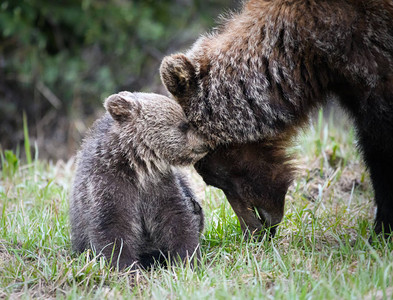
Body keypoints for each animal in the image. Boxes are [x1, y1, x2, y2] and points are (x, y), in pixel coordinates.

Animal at [69, 92, 207, 270]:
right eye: (183, 125)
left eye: (190, 122)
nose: (205, 144)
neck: (137, 167)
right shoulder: (108, 186)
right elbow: (113, 229)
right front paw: (126, 267)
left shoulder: (159, 185)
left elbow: (177, 218)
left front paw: (187, 260)